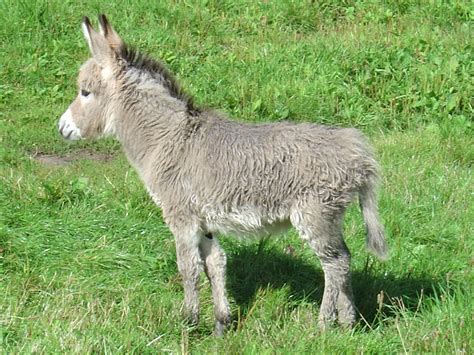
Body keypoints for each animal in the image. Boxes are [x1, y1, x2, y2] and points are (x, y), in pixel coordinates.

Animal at [57, 14, 386, 336]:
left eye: (85, 92)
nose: (62, 128)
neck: (168, 138)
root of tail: (357, 151)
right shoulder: (204, 221)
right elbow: (216, 263)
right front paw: (221, 324)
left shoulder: (181, 217)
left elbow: (188, 268)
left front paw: (188, 323)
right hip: (329, 218)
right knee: (344, 259)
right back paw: (348, 323)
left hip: (314, 215)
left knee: (335, 264)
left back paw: (322, 326)